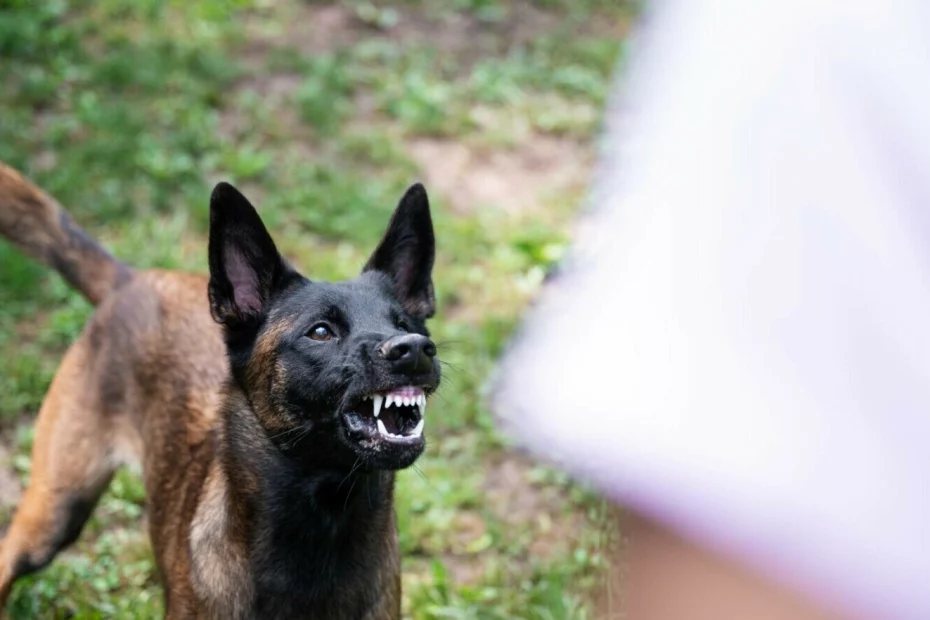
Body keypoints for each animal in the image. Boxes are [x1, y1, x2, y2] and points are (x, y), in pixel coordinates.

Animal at [0, 162, 440, 616]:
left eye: (405, 324)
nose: (414, 350)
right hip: (56, 508)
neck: (326, 516)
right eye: (321, 332)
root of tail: (131, 280)